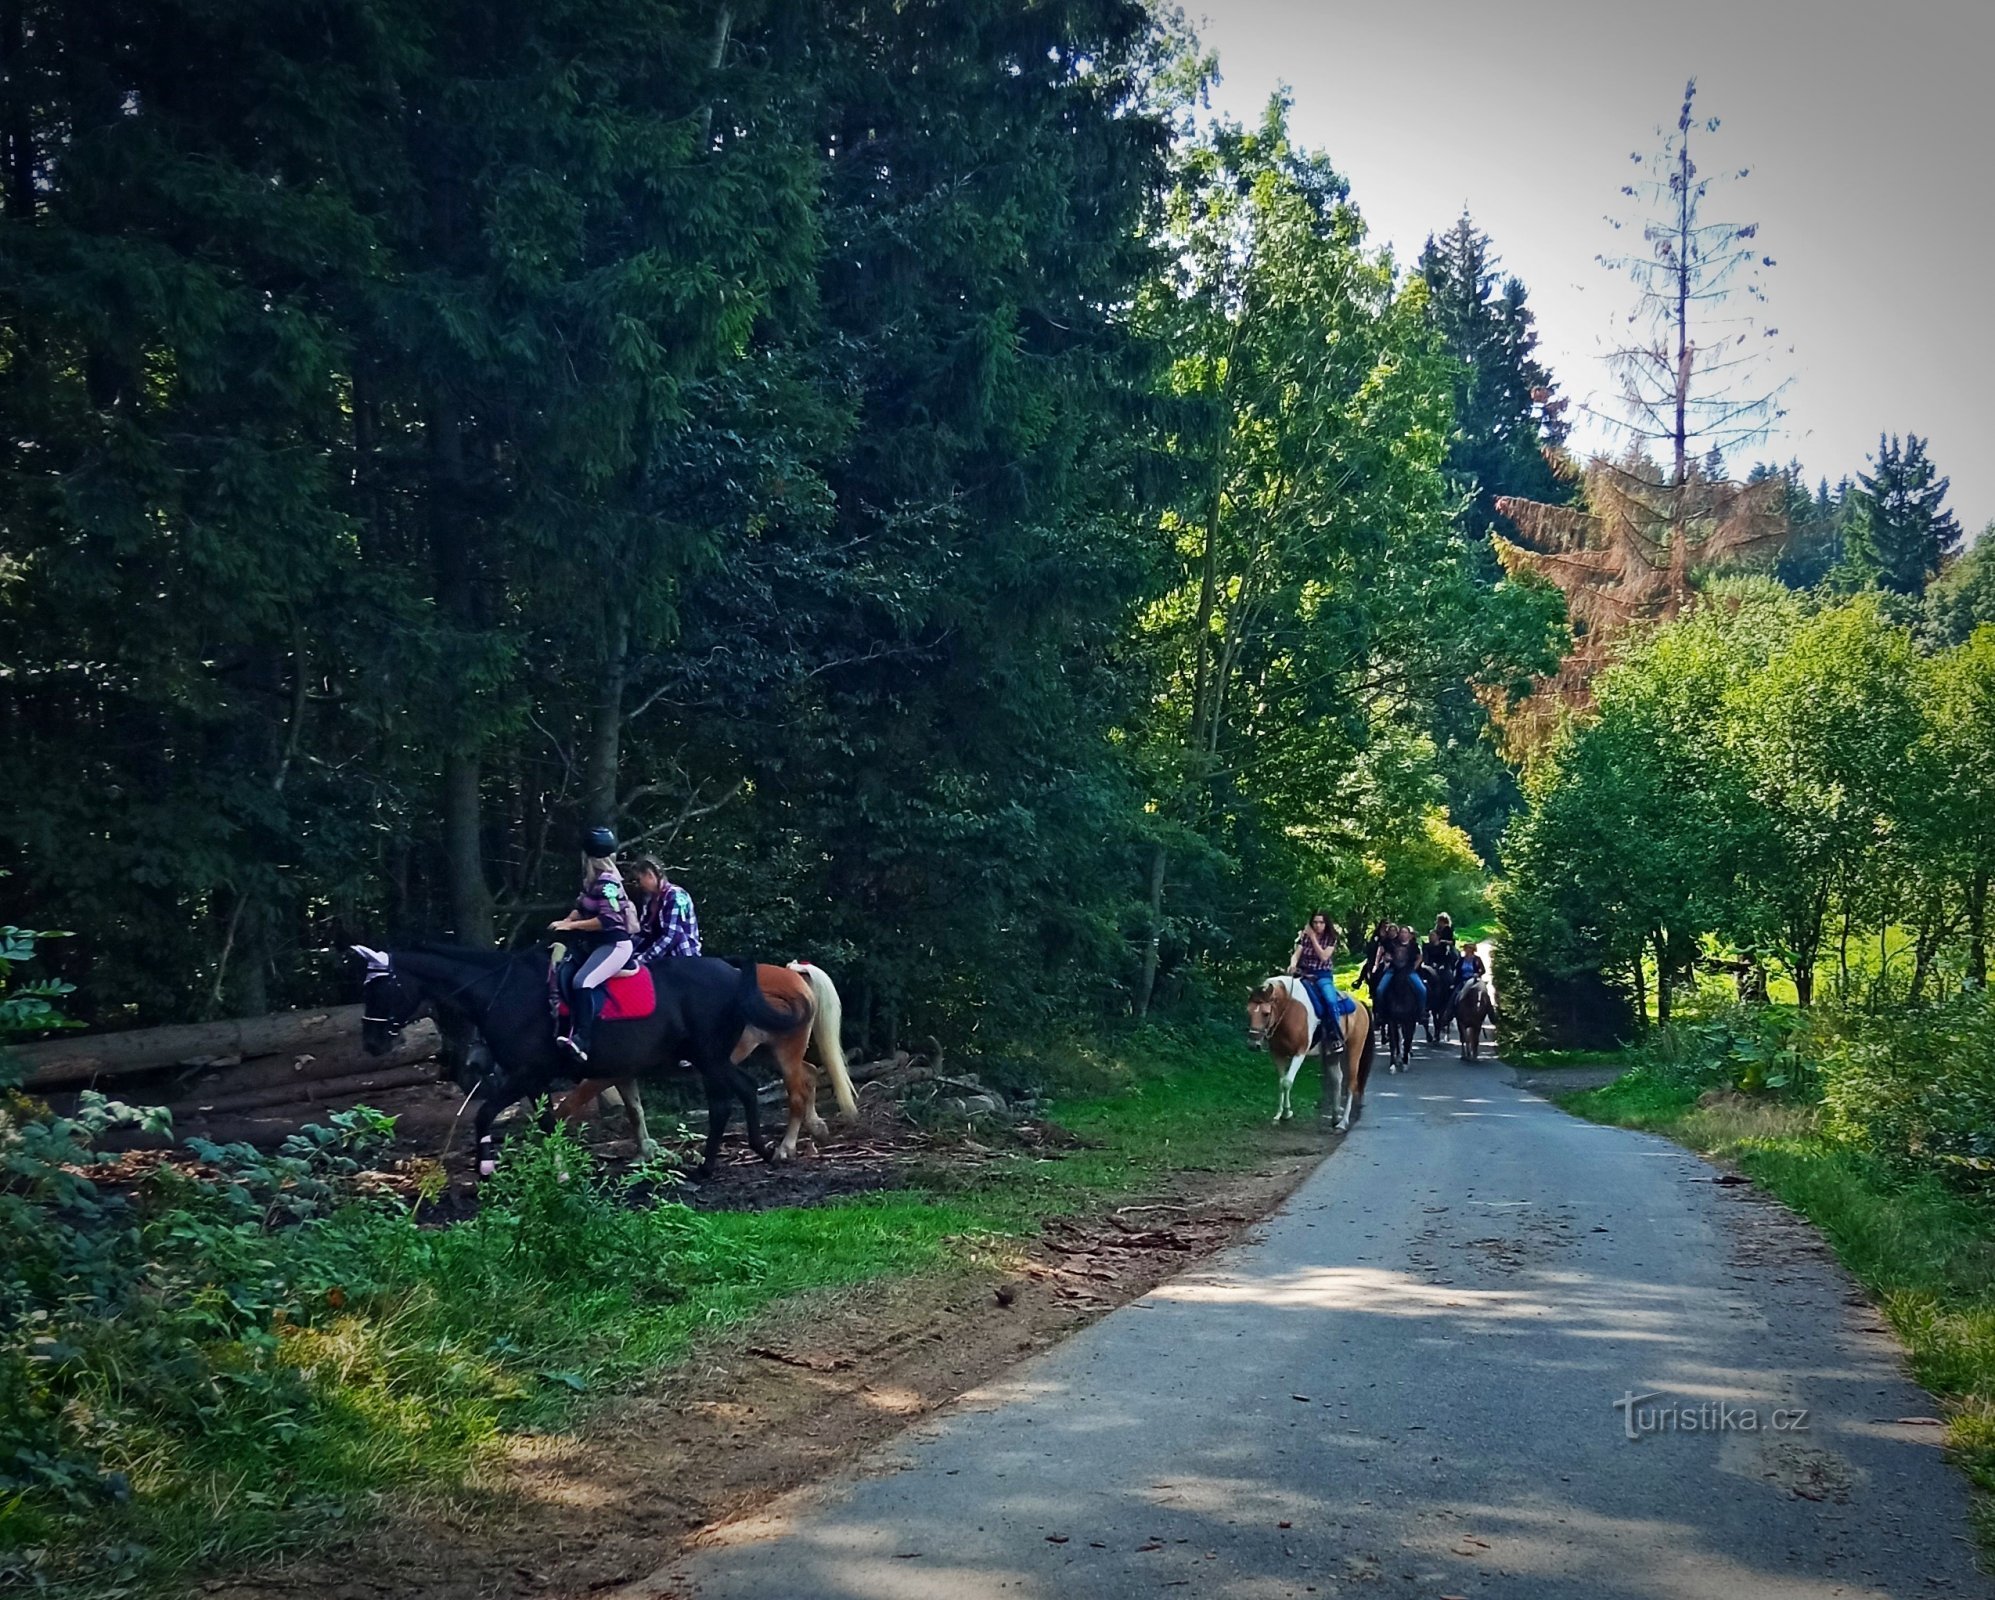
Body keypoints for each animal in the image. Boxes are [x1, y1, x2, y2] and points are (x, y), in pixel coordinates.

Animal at [359, 949, 801, 1173]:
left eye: (381, 988)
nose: (372, 1043)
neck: (502, 991)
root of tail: (732, 972)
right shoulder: (534, 1079)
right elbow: (545, 1124)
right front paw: (560, 1171)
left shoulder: (524, 1073)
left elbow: (484, 1115)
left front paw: (486, 1171)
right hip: (708, 1056)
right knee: (739, 1093)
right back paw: (755, 1152)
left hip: (709, 1056)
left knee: (729, 1099)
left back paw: (717, 1164)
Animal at [1236, 977, 1380, 1125]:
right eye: (1249, 1012)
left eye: (1266, 1013)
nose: (1253, 1045)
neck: (1290, 1009)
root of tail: (1360, 1005)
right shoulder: (1278, 1054)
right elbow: (1281, 1082)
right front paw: (1279, 1114)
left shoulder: (1300, 1053)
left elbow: (1287, 1082)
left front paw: (1287, 1113)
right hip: (1331, 1054)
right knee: (1337, 1078)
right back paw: (1335, 1116)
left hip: (1355, 1049)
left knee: (1351, 1083)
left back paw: (1343, 1122)